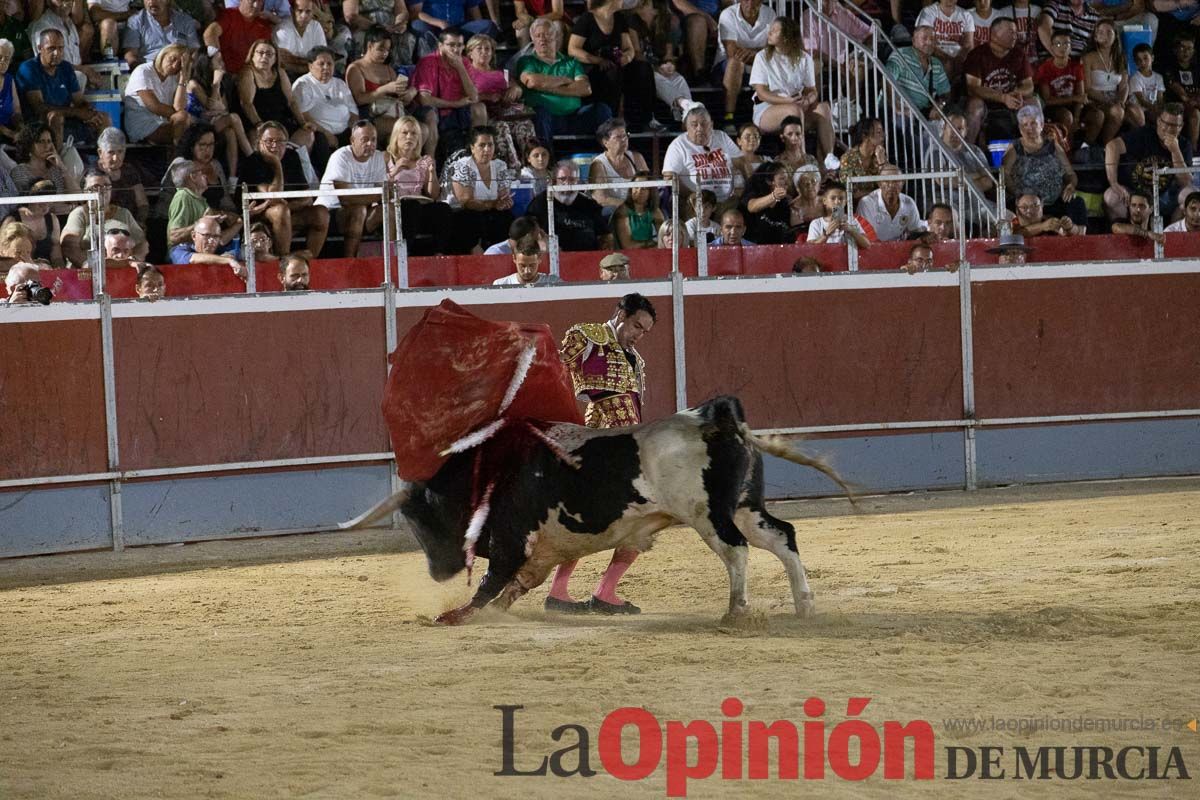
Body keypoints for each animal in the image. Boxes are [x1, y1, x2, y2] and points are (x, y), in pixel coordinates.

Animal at [348, 395, 854, 623]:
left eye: (423, 517)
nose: (438, 573)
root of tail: (714, 417)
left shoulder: (512, 538)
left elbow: (491, 584)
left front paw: (456, 615)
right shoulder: (537, 552)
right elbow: (514, 586)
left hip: (709, 515)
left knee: (736, 552)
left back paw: (735, 612)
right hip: (746, 507)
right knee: (782, 536)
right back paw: (804, 605)